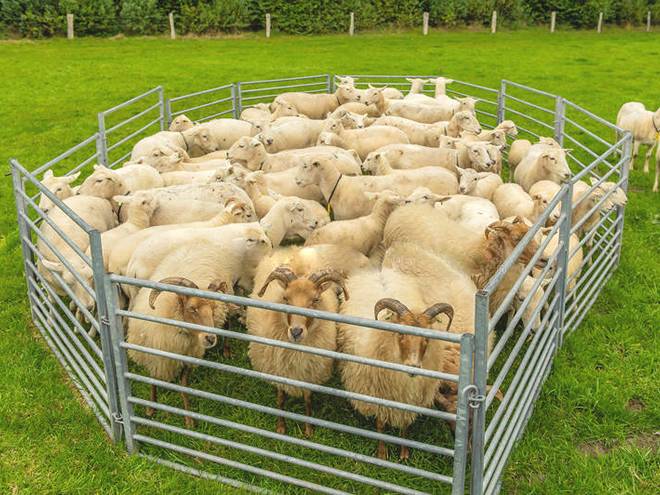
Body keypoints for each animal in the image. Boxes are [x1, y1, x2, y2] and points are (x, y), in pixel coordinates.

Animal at [247, 245, 365, 436]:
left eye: (315, 299)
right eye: (285, 298)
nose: (296, 331)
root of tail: (292, 249)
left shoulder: (310, 372)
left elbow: (308, 400)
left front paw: (308, 429)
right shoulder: (277, 369)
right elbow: (280, 399)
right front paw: (281, 427)